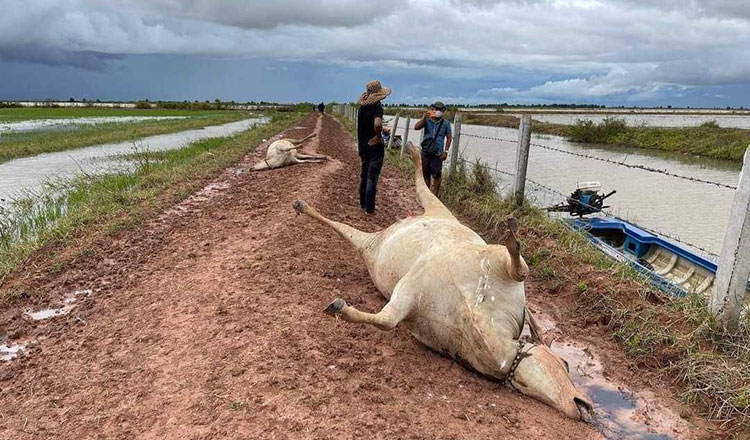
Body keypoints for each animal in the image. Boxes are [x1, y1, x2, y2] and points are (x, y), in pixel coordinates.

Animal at [296, 143, 596, 422]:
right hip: (435, 211)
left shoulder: (411, 300)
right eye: (565, 363)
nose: (587, 406)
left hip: (375, 247)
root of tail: (399, 224)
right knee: (419, 191)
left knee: (355, 231)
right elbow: (520, 267)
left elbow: (387, 320)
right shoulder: (438, 283)